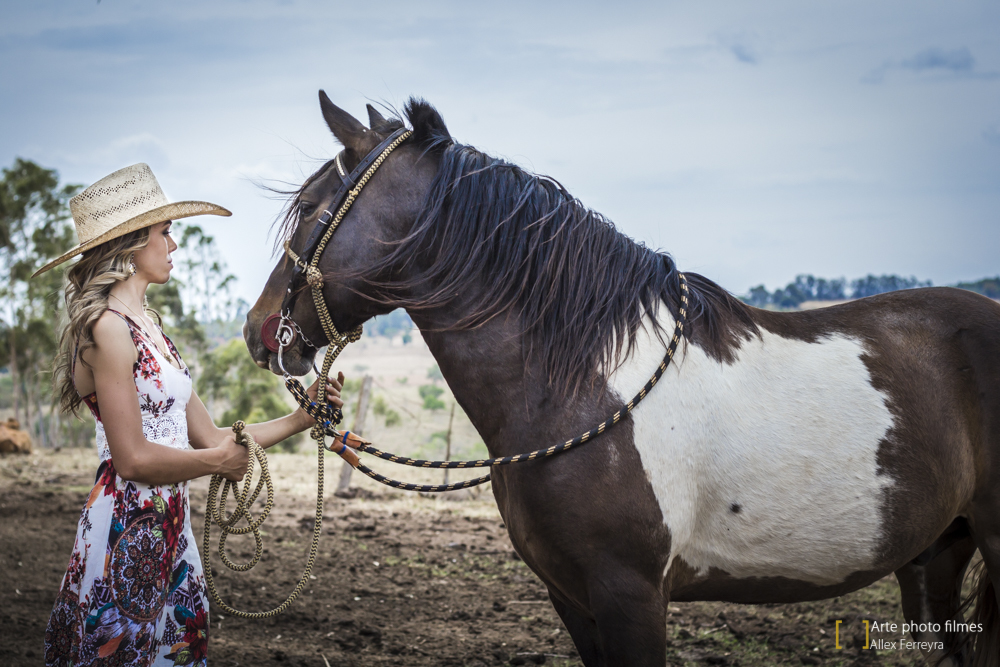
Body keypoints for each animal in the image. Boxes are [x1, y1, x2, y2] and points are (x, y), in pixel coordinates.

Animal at [245, 91, 1000, 667]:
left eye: (311, 207)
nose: (258, 330)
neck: (582, 389)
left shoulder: (630, 594)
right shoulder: (574, 596)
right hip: (937, 556)